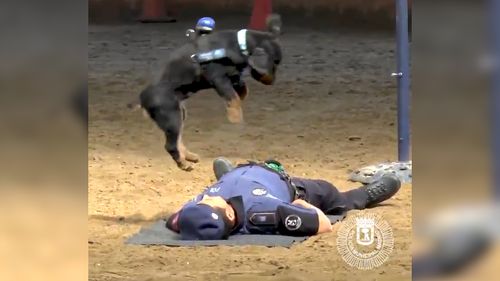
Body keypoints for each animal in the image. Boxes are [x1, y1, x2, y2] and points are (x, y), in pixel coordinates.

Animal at [131, 15, 284, 171]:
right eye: (274, 63)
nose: (272, 82)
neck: (237, 45)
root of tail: (143, 100)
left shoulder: (233, 75)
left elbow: (242, 89)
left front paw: (241, 97)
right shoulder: (218, 78)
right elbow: (232, 96)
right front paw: (235, 117)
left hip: (181, 114)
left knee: (178, 139)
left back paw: (190, 156)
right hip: (171, 117)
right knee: (170, 145)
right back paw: (184, 164)